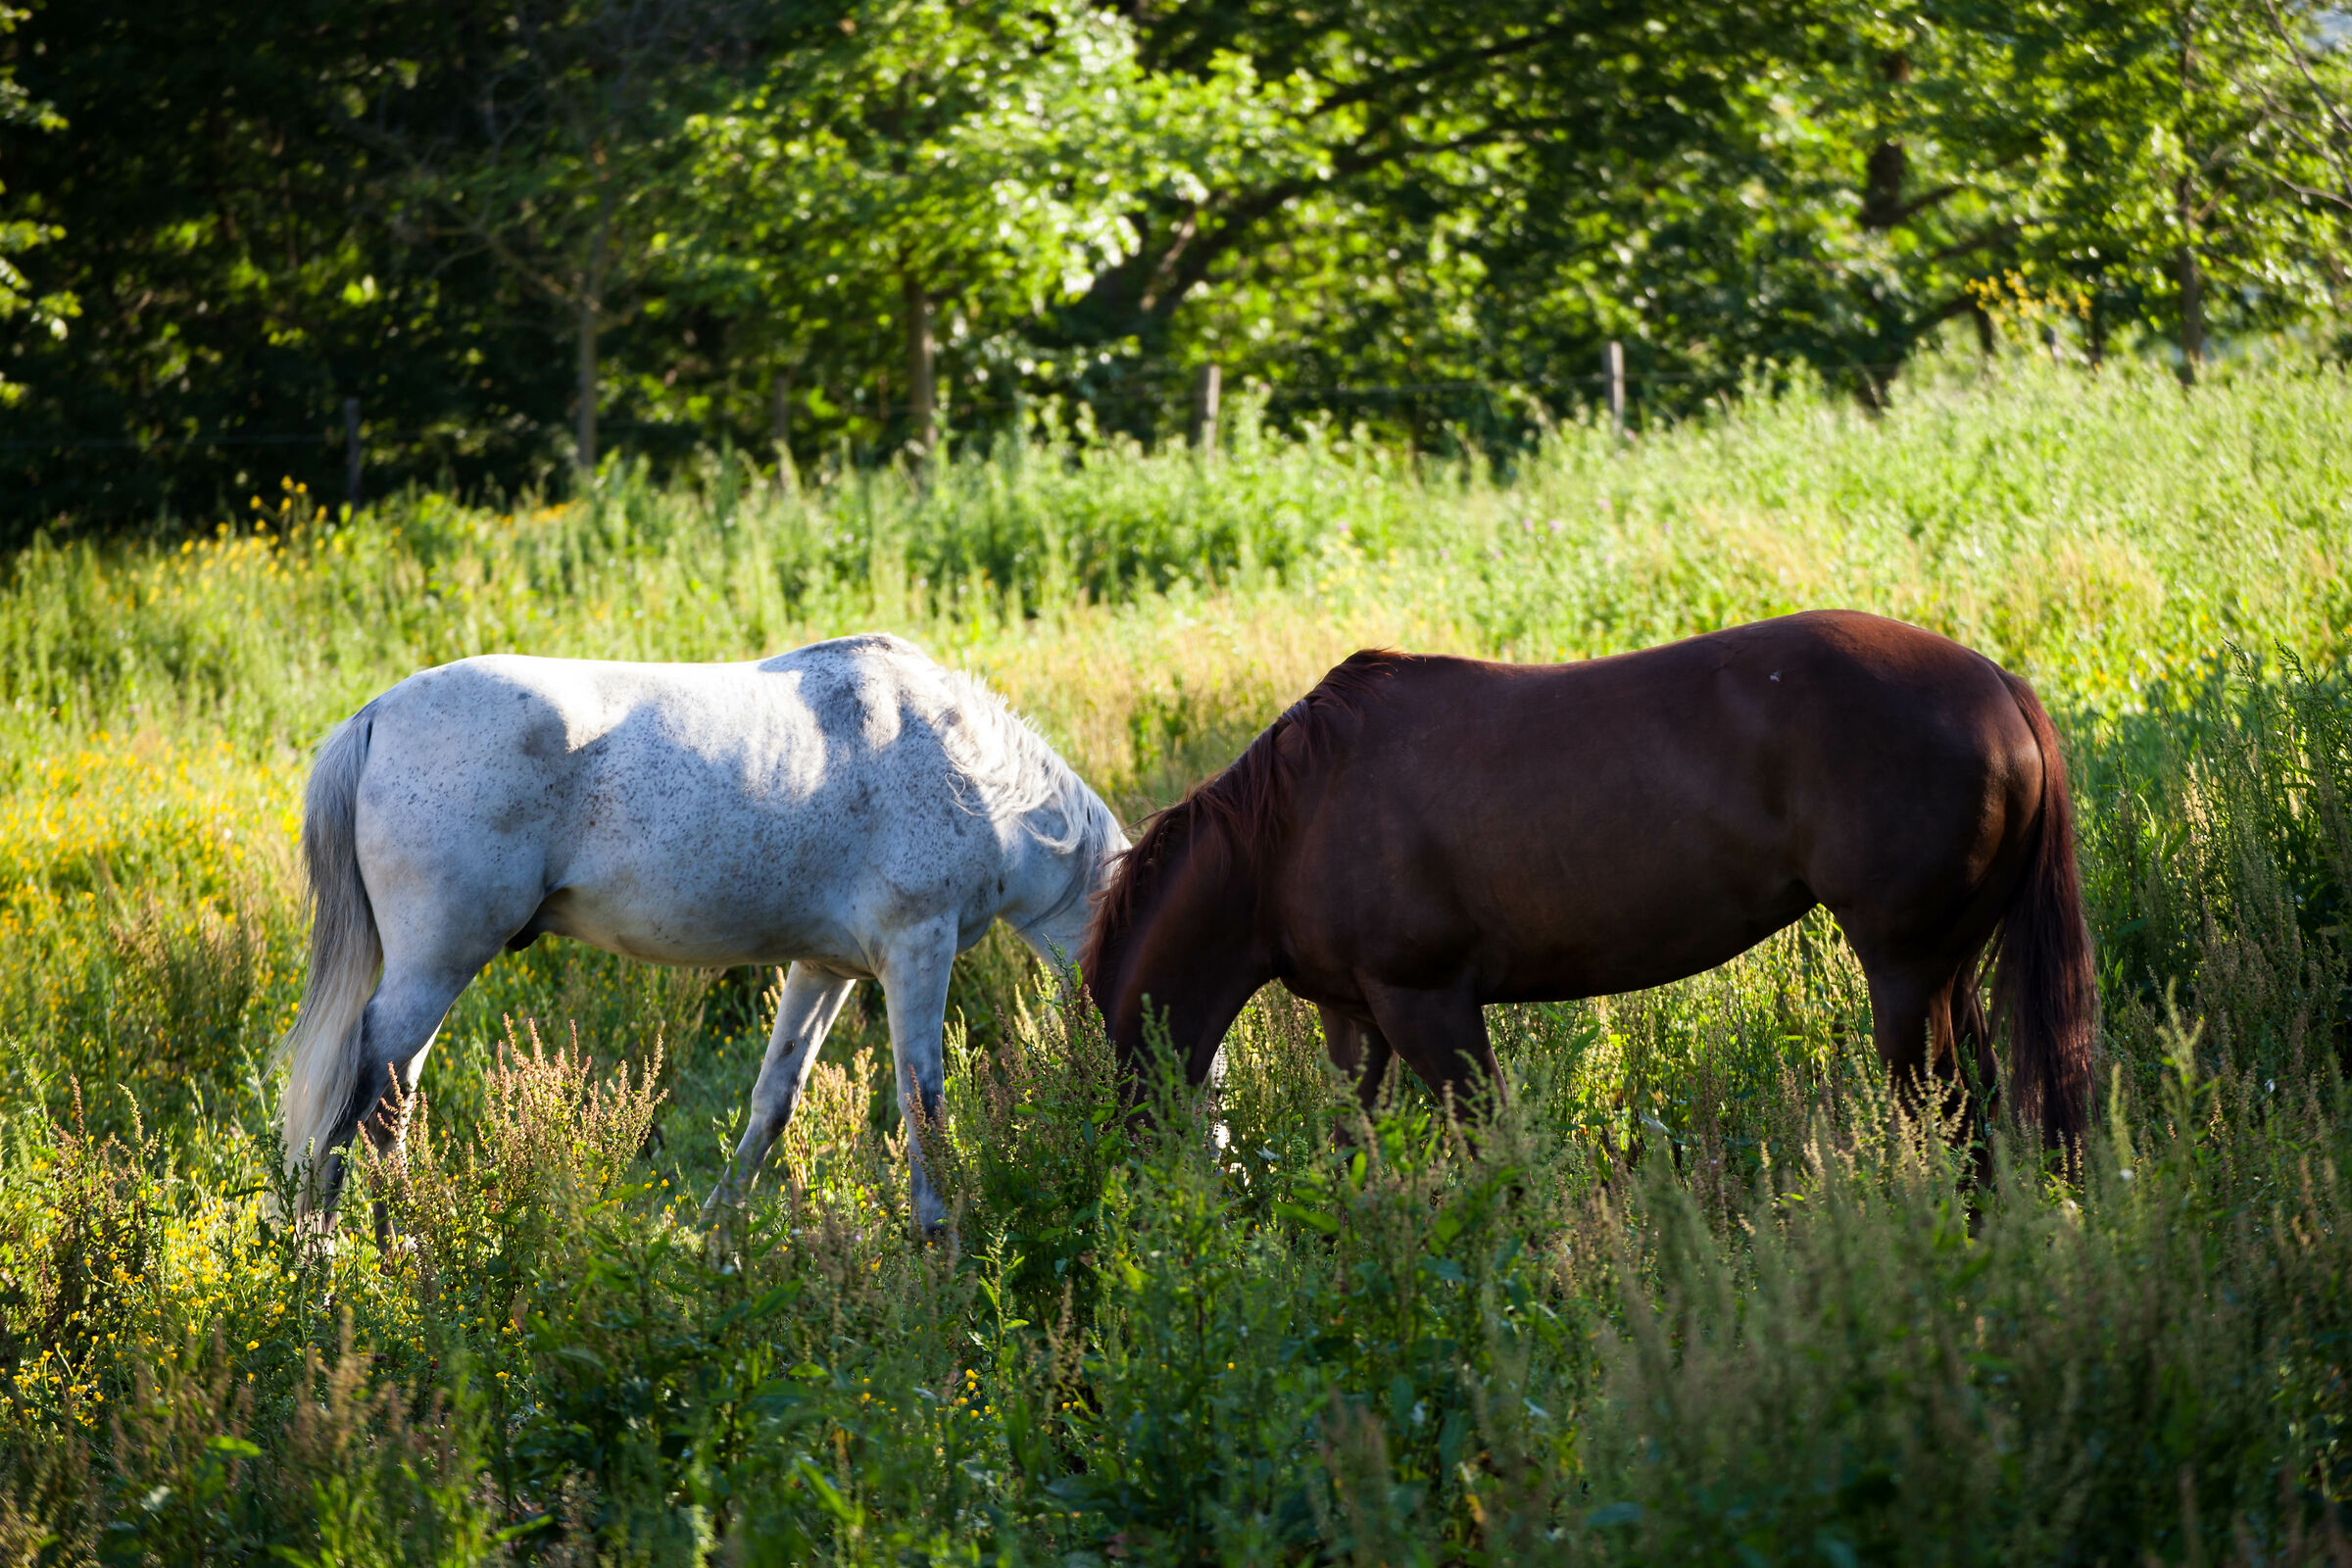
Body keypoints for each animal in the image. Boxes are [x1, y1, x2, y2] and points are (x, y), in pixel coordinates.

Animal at [277, 633, 1127, 1236]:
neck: (970, 772)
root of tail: (376, 715)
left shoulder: (826, 968)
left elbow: (775, 1099)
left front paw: (718, 1238)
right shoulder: (919, 950)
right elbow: (925, 1102)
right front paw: (939, 1241)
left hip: (432, 974)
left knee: (390, 1102)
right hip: (434, 967)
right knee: (362, 1104)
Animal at [1082, 610, 2096, 1148]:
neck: (1293, 823)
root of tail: (1998, 686)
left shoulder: (1428, 1005)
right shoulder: (1358, 1019)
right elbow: (1353, 1150)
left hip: (1905, 972)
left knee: (1948, 1113)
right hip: (1948, 970)